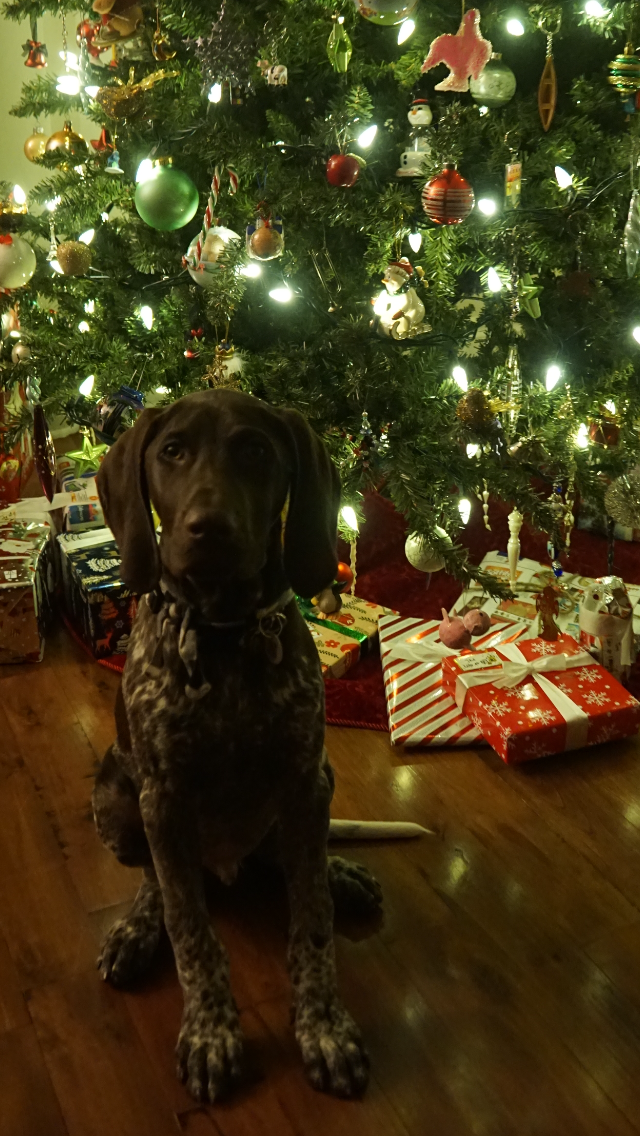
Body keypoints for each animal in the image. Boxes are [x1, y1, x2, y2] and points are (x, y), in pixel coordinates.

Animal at [92, 389, 382, 1103]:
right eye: (172, 452)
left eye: (255, 451)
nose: (209, 528)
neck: (222, 633)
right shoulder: (163, 801)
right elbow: (190, 929)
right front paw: (211, 1032)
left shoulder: (305, 782)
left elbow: (312, 921)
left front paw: (324, 1027)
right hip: (115, 796)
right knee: (155, 882)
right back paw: (137, 929)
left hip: (318, 788)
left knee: (296, 864)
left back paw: (341, 872)